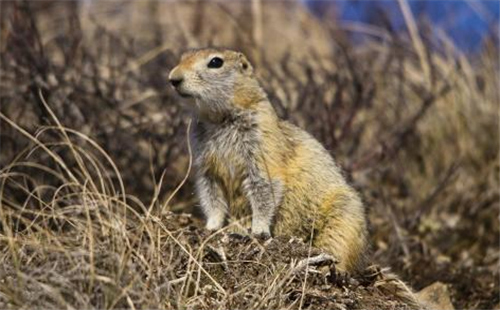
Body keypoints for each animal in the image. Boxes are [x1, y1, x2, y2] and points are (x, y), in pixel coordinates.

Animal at [170, 47, 370, 272]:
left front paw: (258, 230)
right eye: (182, 57)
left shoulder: (261, 145)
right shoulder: (206, 166)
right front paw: (211, 226)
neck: (218, 119)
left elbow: (265, 186)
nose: (173, 78)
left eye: (215, 62)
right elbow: (211, 194)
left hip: (344, 216)